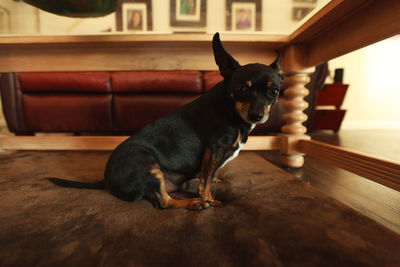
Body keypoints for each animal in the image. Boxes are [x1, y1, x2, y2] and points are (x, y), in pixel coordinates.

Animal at [48, 32, 282, 211]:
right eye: (241, 89)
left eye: (274, 92)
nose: (257, 115)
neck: (230, 107)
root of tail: (106, 179)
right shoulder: (214, 148)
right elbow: (205, 182)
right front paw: (209, 199)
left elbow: (208, 175)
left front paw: (214, 181)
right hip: (149, 166)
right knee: (164, 202)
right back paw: (193, 203)